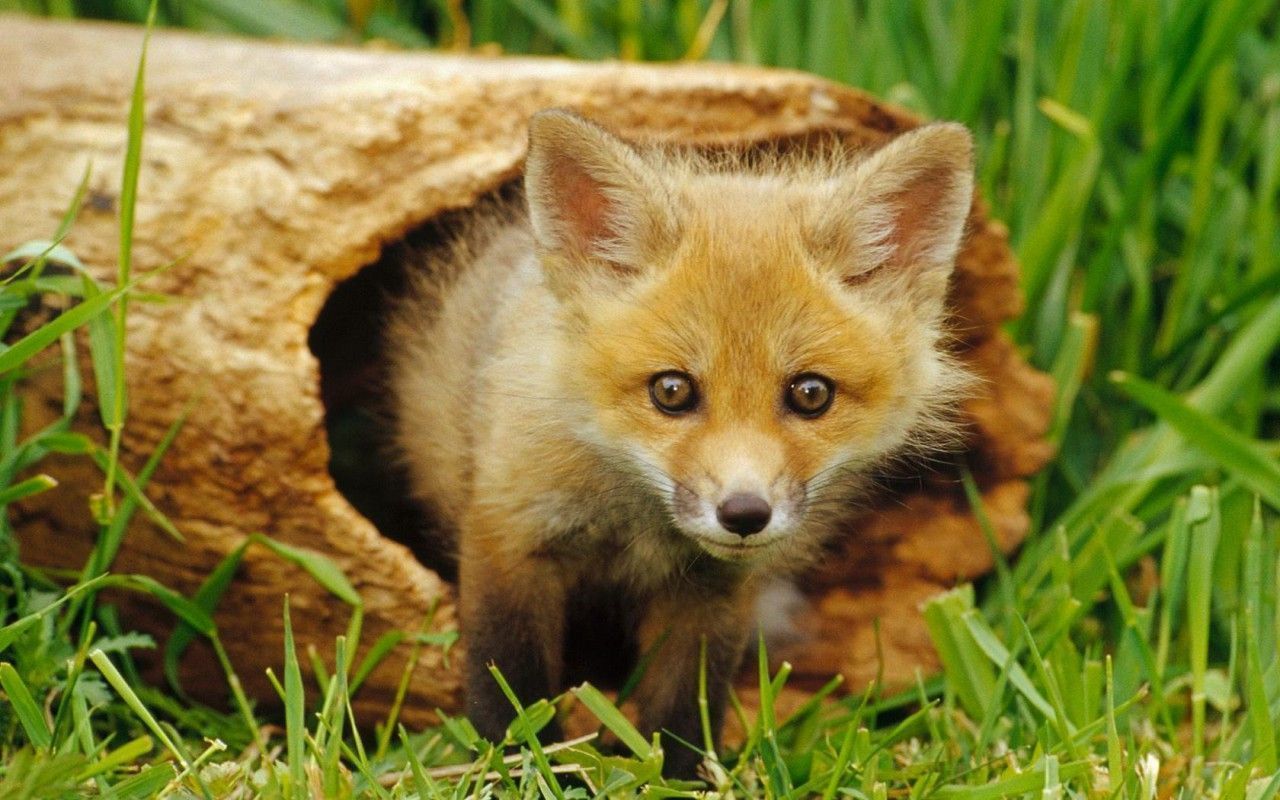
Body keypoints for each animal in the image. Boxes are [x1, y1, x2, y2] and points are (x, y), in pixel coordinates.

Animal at [388, 108, 976, 778]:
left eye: (810, 394)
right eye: (672, 391)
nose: (744, 513)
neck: (636, 525)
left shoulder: (712, 592)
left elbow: (683, 708)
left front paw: (679, 777)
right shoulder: (509, 534)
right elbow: (510, 686)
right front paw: (519, 767)